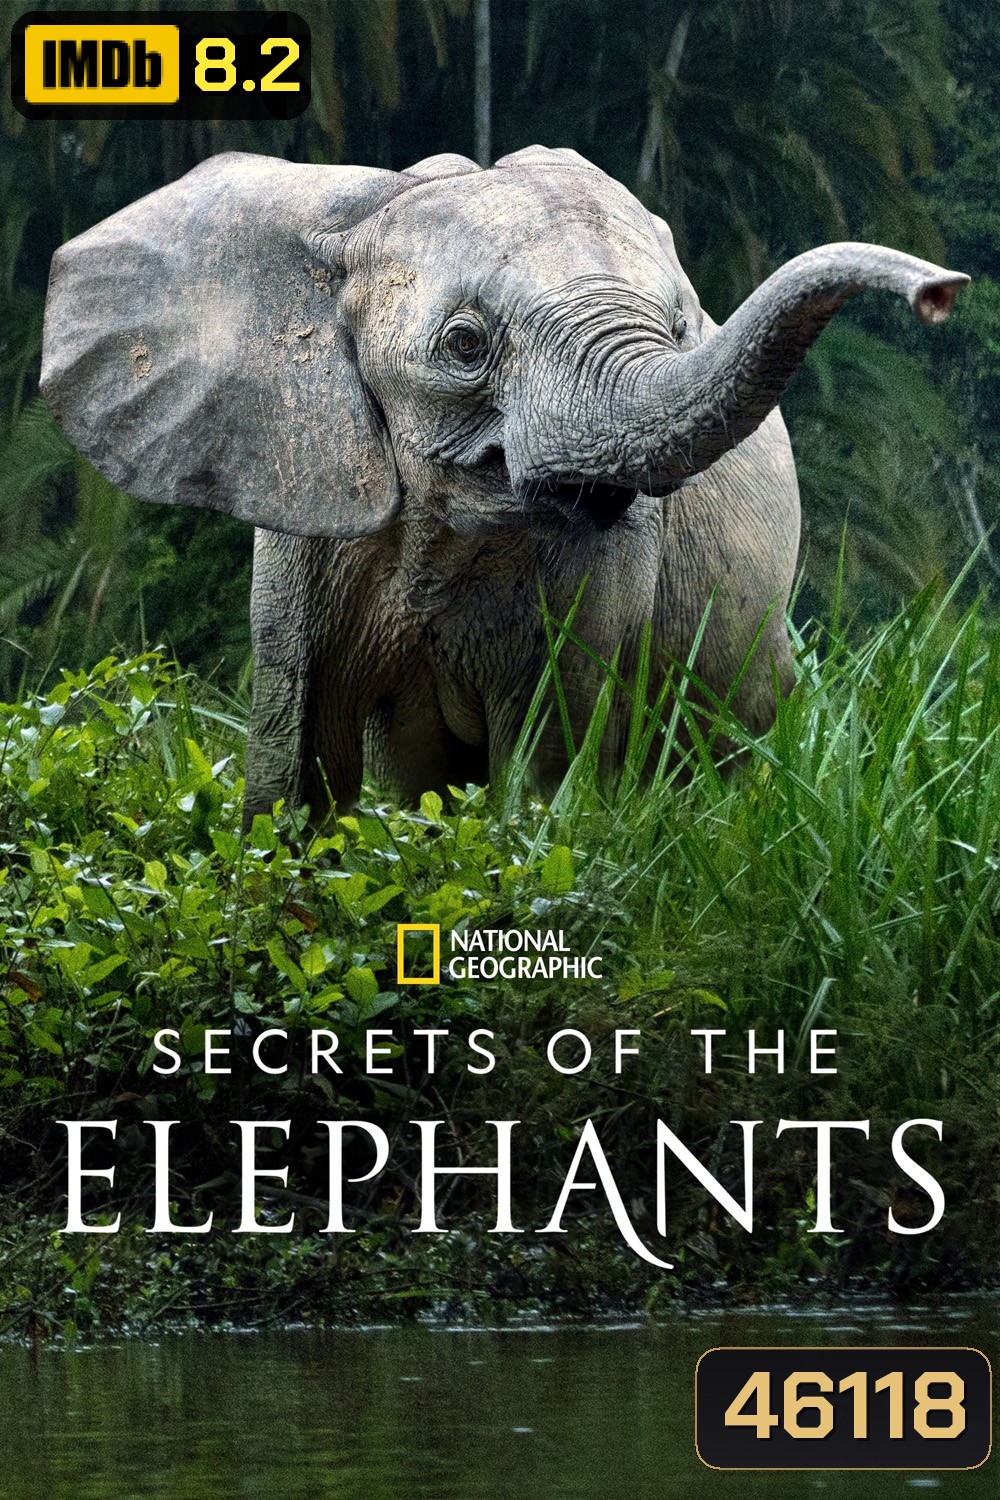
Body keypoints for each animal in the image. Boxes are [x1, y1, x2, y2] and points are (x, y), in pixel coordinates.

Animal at [40, 146, 967, 822]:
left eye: (680, 329)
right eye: (464, 344)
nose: (941, 292)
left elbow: (546, 756)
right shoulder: (306, 502)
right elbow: (298, 758)